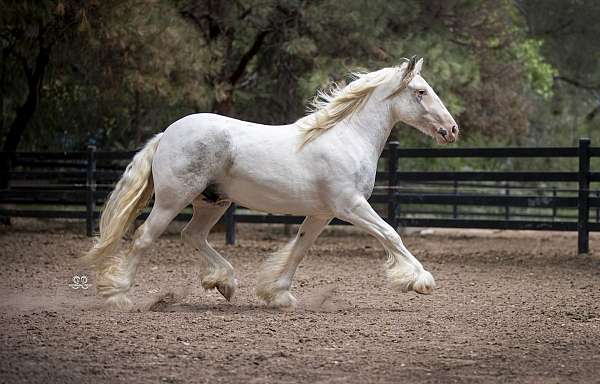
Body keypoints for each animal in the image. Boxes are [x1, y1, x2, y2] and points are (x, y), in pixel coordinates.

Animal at [84, 57, 458, 308]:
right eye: (421, 92)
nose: (451, 130)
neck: (346, 137)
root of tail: (166, 134)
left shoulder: (322, 213)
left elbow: (299, 249)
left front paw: (278, 295)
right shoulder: (350, 206)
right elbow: (390, 233)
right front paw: (420, 280)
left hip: (212, 202)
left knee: (192, 235)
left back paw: (224, 283)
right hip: (171, 200)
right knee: (145, 237)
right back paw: (119, 296)